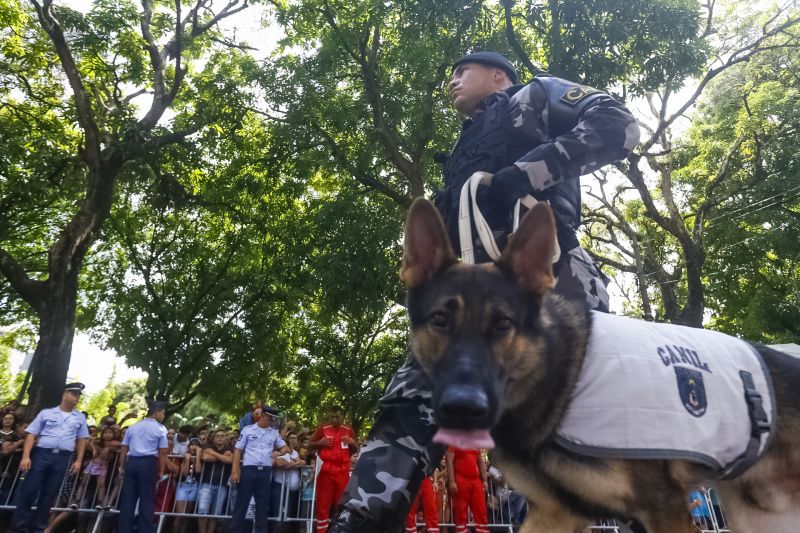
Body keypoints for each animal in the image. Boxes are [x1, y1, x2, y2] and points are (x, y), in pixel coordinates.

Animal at [404, 197, 800, 528]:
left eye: (503, 325)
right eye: (440, 320)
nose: (462, 409)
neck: (563, 377)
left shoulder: (662, 507)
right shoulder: (554, 513)